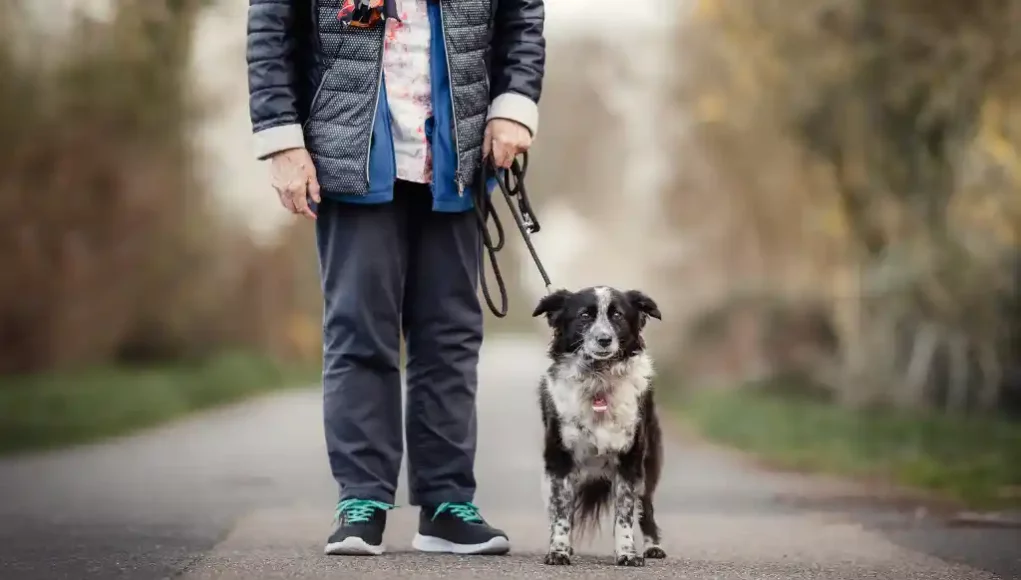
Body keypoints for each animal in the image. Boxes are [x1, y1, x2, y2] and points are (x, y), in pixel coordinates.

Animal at [530, 285, 665, 567]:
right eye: (584, 315)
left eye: (618, 315)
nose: (604, 339)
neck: (598, 381)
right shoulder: (559, 461)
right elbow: (561, 513)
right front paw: (559, 550)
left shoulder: (629, 461)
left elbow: (624, 516)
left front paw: (627, 553)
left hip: (647, 469)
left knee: (646, 508)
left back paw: (653, 546)